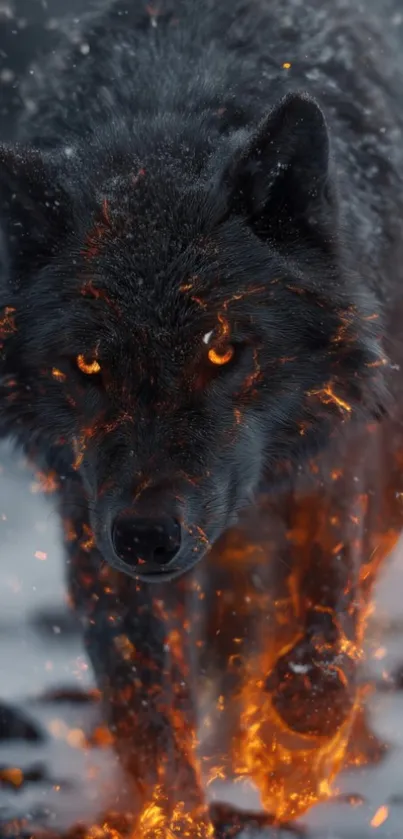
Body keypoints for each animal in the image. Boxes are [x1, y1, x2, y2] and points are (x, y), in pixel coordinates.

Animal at [1, 0, 403, 831]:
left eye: (222, 349)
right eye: (89, 365)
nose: (147, 536)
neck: (173, 97)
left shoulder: (338, 451)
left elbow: (324, 623)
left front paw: (293, 753)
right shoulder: (89, 510)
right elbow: (147, 703)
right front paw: (176, 810)